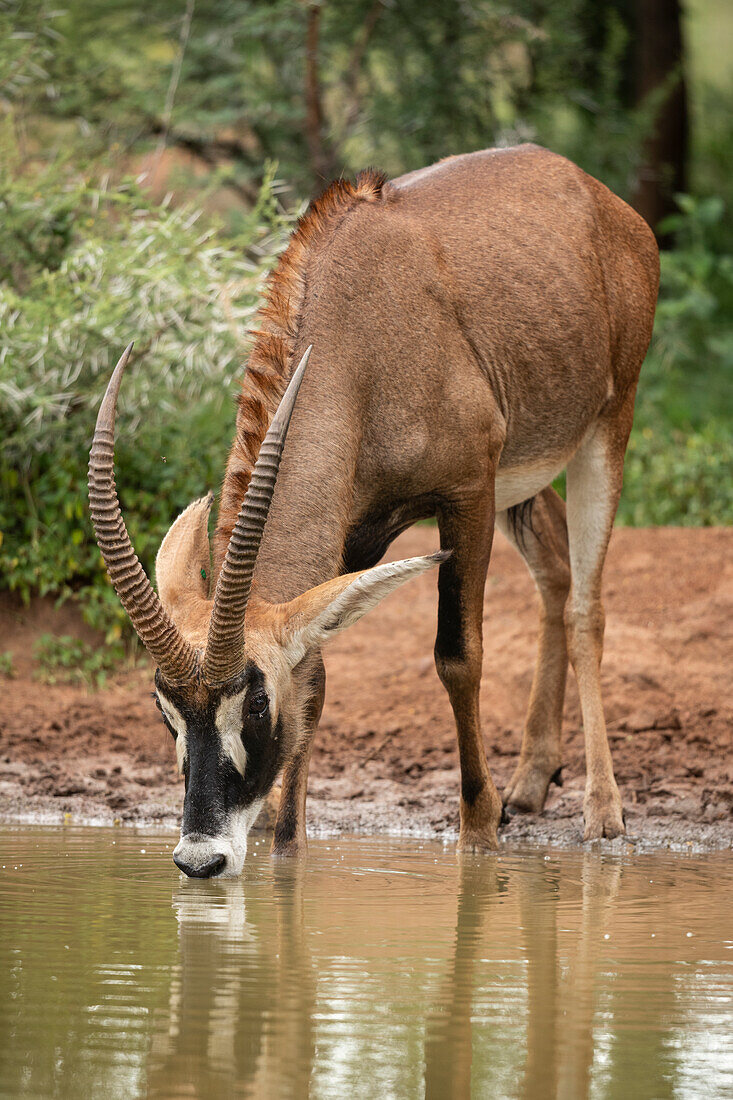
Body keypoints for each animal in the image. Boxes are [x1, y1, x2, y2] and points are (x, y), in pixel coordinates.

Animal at [86, 144, 655, 875]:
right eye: (165, 707)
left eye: (255, 700)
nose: (201, 859)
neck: (358, 340)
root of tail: (601, 199)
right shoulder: (352, 534)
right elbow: (317, 675)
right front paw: (287, 845)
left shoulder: (465, 491)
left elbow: (457, 655)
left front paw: (479, 827)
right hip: (524, 475)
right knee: (554, 571)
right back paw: (532, 780)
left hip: (606, 427)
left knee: (586, 605)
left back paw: (601, 812)